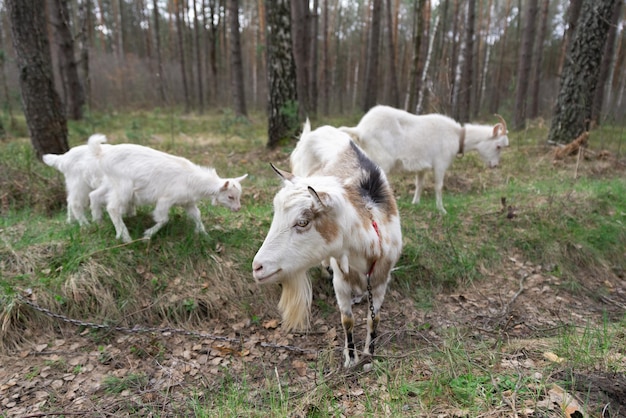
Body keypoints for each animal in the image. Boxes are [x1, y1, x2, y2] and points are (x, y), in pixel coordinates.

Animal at [87, 136, 246, 243]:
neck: (193, 180)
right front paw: (148, 235)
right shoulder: (165, 199)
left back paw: (97, 222)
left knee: (94, 195)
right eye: (230, 196)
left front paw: (205, 236)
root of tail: (101, 153)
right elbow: (163, 219)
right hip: (123, 186)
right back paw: (125, 237)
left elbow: (197, 215)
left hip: (110, 182)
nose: (238, 208)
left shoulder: (188, 202)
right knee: (112, 207)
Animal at [251, 120, 402, 366]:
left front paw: (370, 352)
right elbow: (347, 319)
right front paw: (351, 358)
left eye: (302, 222)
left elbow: (375, 318)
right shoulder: (341, 278)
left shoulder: (382, 278)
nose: (258, 267)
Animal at [338, 104, 510, 216]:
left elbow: (419, 184)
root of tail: (361, 130)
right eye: (498, 146)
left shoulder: (421, 168)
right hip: (380, 160)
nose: (495, 165)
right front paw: (442, 210)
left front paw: (415, 203)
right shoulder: (440, 163)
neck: (457, 136)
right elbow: (438, 186)